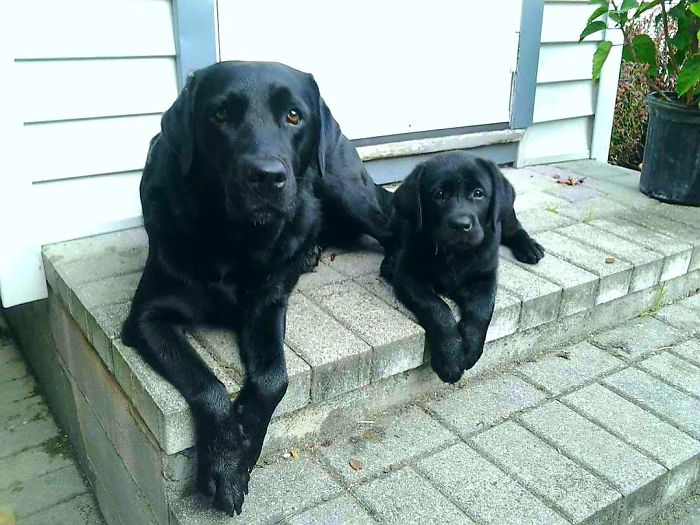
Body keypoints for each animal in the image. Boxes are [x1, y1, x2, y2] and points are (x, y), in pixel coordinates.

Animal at [122, 59, 392, 512]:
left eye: (294, 116)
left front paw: (242, 450)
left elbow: (273, 378)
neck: (235, 242)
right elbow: (208, 385)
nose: (267, 177)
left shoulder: (268, 304)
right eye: (219, 115)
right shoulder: (146, 318)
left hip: (345, 190)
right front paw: (226, 461)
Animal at [380, 149, 544, 382]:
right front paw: (450, 356)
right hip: (396, 218)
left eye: (478, 193)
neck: (454, 254)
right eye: (439, 194)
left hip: (506, 215)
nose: (461, 225)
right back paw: (390, 262)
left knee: (515, 228)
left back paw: (529, 247)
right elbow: (437, 307)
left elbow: (482, 309)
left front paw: (471, 348)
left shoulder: (485, 277)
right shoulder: (409, 276)